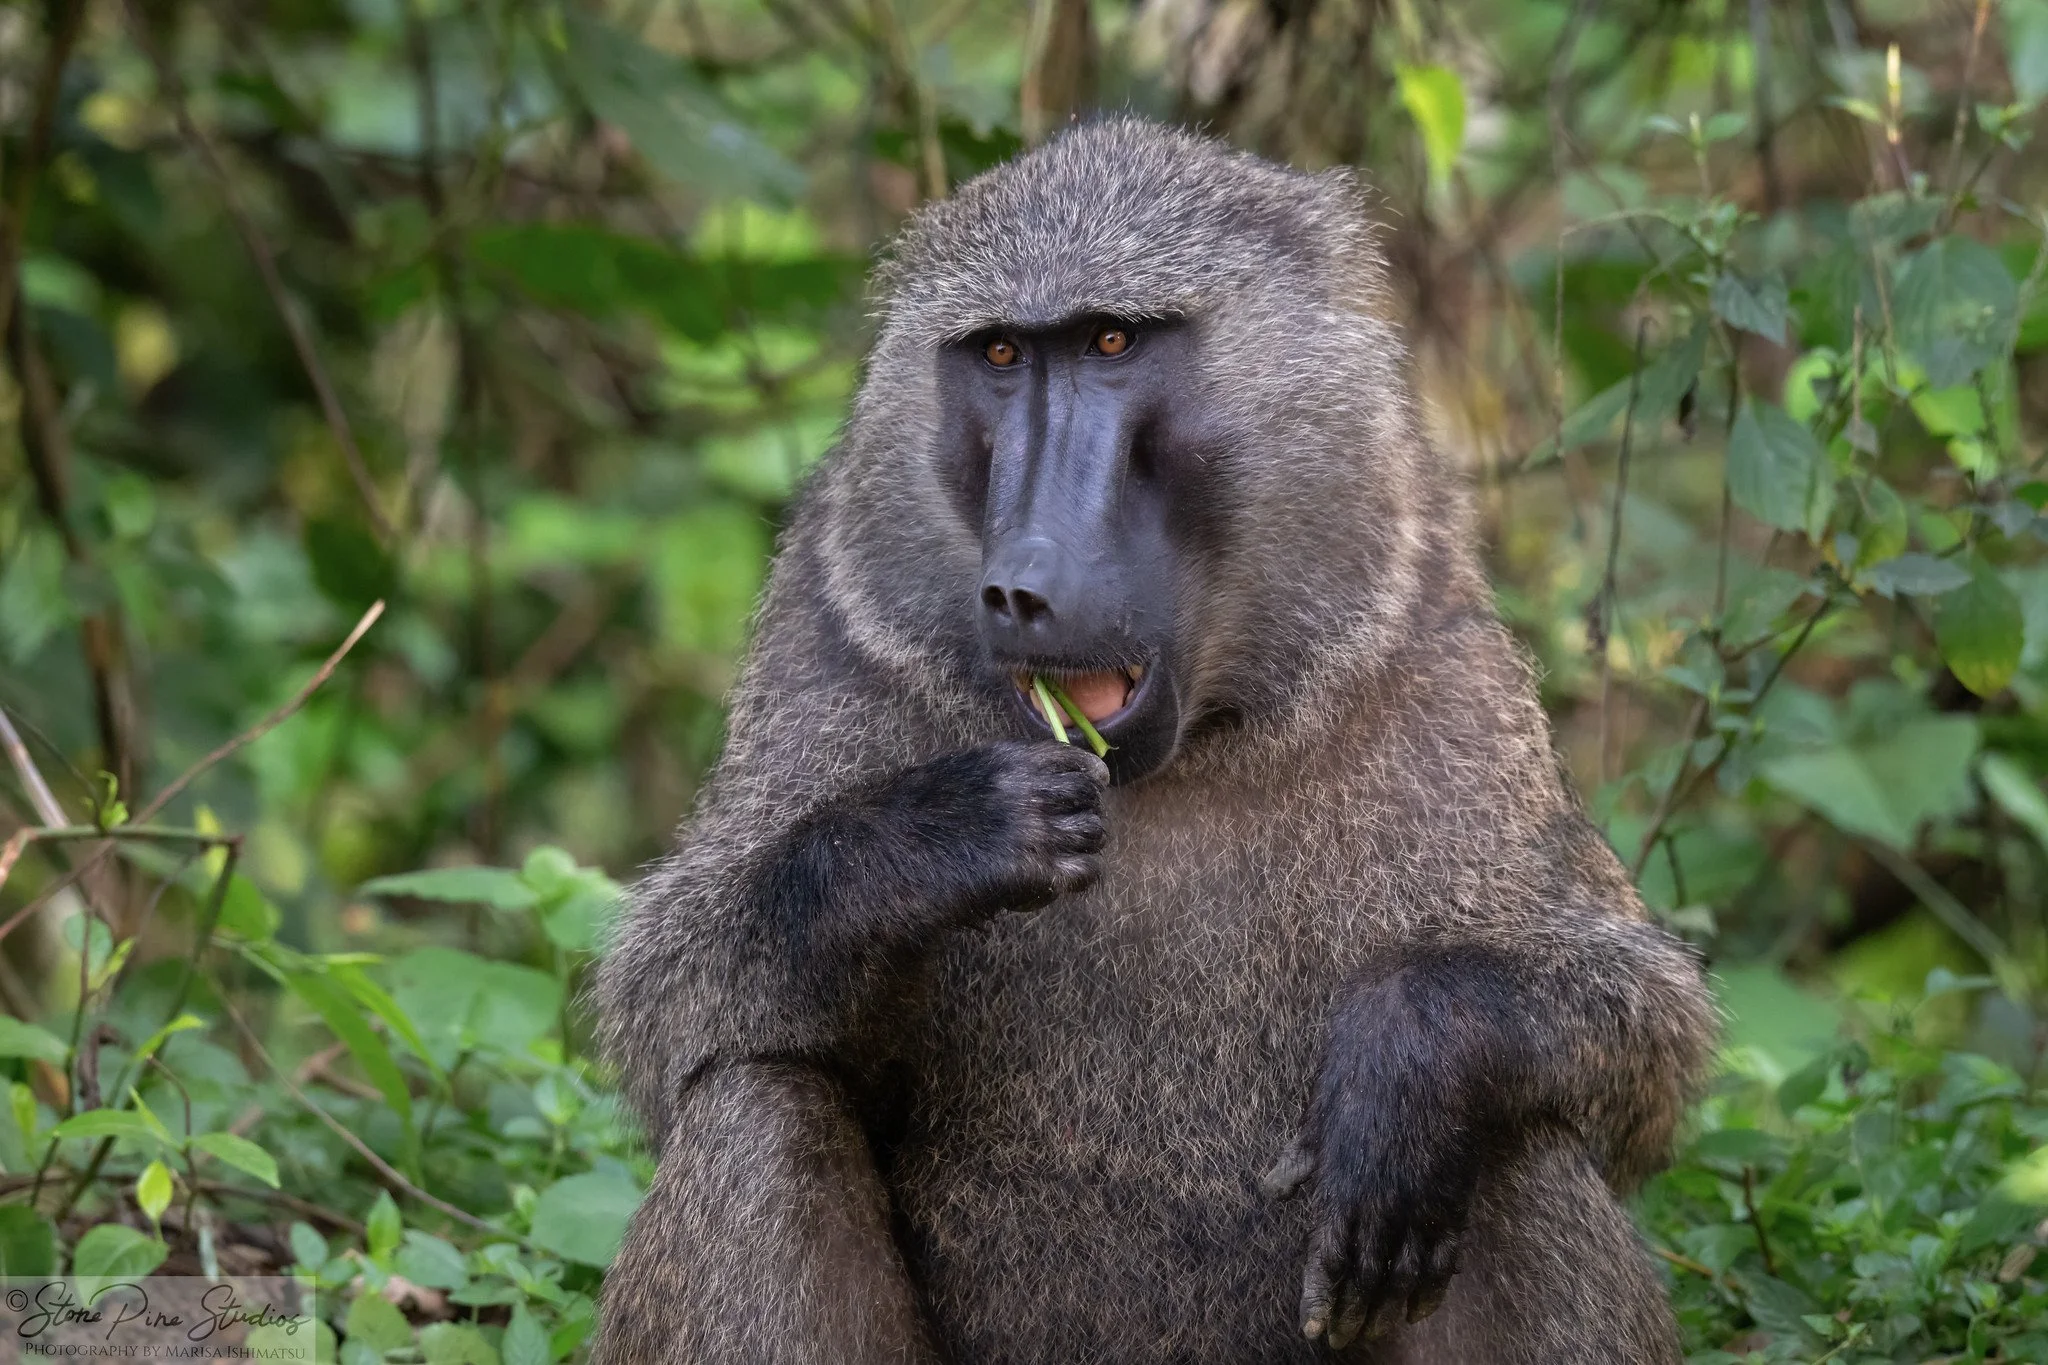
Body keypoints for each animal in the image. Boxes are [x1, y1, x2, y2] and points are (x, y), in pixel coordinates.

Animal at [592, 118, 1717, 1364]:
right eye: (1000, 355)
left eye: (1111, 340)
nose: (1022, 585)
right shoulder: (829, 626)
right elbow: (668, 1002)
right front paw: (935, 839)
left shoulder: (1436, 658)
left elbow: (1641, 1034)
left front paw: (1408, 1060)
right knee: (755, 1103)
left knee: (1518, 1149)